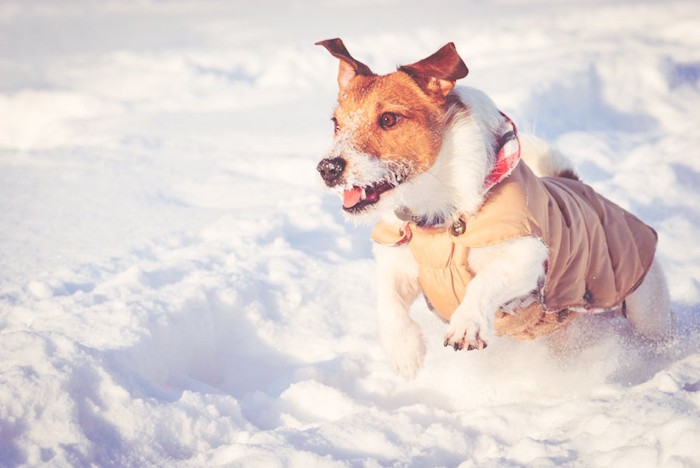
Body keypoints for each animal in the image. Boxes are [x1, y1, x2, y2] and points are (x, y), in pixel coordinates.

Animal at [316, 38, 672, 378]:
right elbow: (387, 301)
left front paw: (467, 324)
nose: (327, 168)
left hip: (645, 306)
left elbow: (483, 282)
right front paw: (405, 352)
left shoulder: (526, 257)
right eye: (335, 123)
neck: (437, 214)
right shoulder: (398, 263)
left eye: (389, 119)